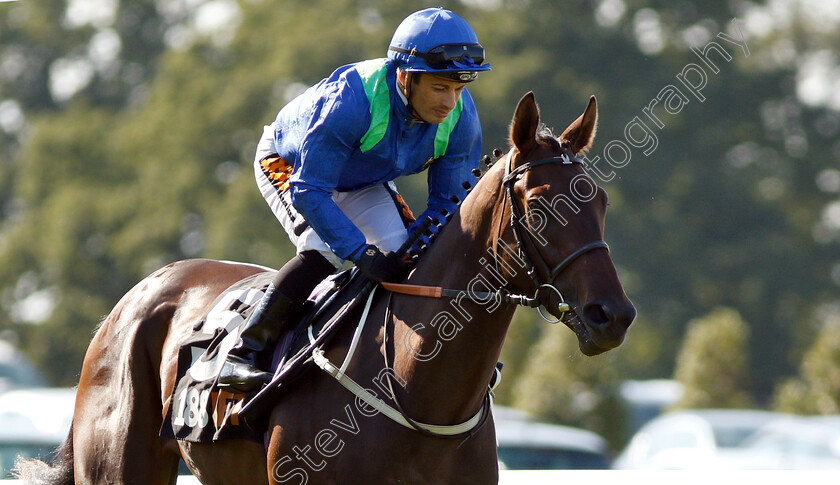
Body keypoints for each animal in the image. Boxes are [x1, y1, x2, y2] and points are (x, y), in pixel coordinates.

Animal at [16, 91, 632, 484]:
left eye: (601, 200)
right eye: (538, 206)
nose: (614, 315)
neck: (415, 386)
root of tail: (131, 300)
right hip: (120, 467)